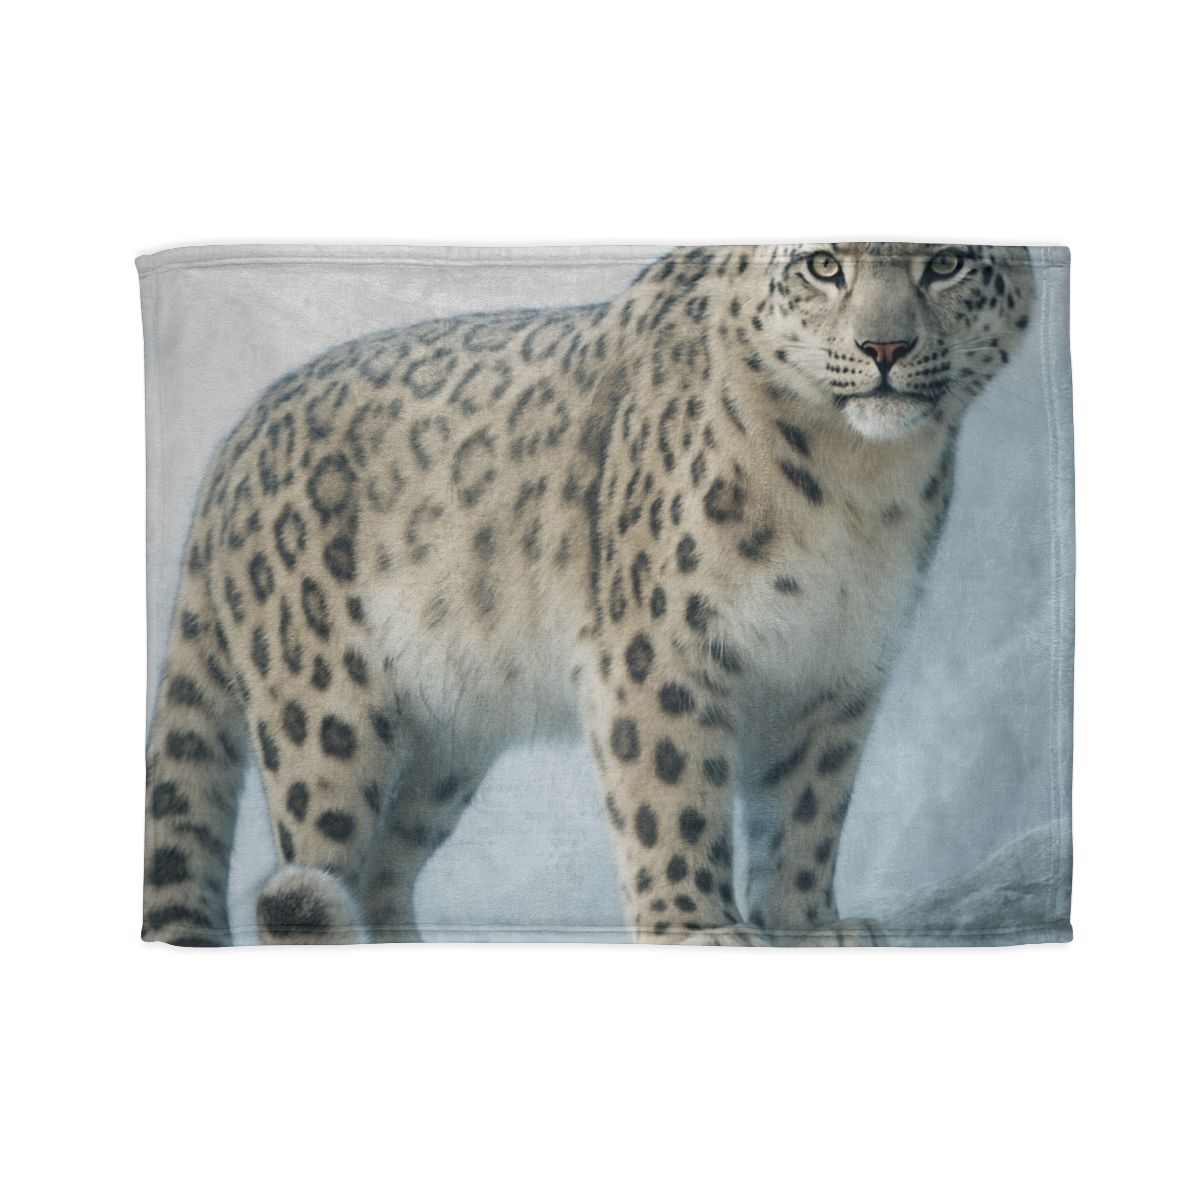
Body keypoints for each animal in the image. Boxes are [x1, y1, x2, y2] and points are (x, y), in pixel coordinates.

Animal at [142, 242, 1033, 947]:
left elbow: (808, 808)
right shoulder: (659, 645)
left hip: (443, 749)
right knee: (316, 862)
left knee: (383, 865)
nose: (885, 345)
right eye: (823, 265)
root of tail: (234, 443)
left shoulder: (838, 666)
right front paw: (696, 928)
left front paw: (808, 926)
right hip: (325, 719)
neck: (860, 486)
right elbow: (673, 790)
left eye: (945, 263)